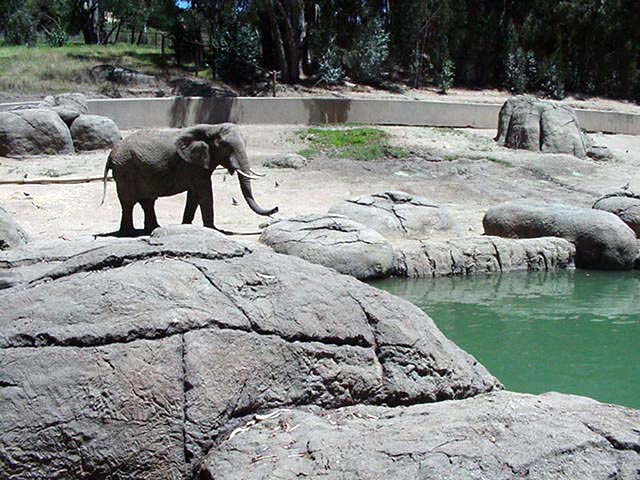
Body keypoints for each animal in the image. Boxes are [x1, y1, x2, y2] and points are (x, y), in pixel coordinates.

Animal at [101, 123, 278, 235]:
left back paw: (153, 228)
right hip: (125, 168)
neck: (212, 128)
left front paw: (186, 227)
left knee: (148, 201)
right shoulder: (193, 164)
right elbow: (205, 191)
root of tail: (110, 155)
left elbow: (194, 195)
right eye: (226, 147)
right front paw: (214, 230)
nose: (276, 208)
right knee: (128, 202)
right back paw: (128, 232)